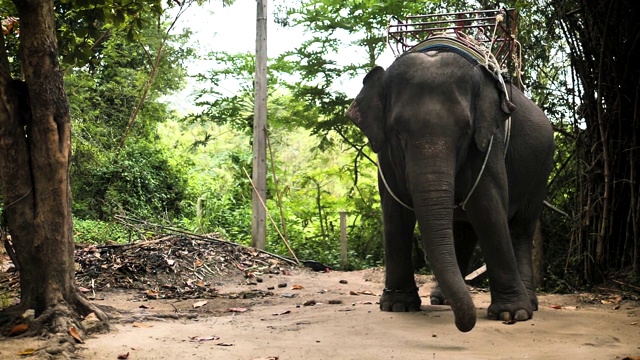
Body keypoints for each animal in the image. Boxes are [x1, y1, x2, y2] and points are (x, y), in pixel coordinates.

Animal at [344, 47, 556, 332]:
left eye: (465, 129)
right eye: (397, 131)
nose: (463, 326)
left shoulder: (488, 142)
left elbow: (487, 206)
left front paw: (511, 313)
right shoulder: (385, 155)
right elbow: (395, 212)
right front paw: (398, 306)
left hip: (540, 171)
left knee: (520, 228)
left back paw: (529, 305)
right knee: (464, 230)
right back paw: (440, 299)